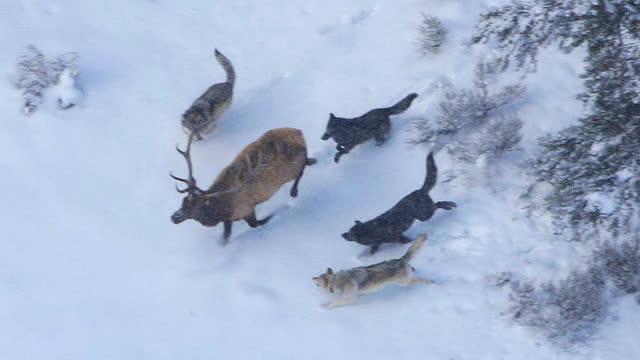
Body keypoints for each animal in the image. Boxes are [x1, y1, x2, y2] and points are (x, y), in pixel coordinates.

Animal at [170, 128, 318, 243]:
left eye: (194, 207)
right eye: (183, 201)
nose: (174, 217)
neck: (222, 209)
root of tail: (299, 132)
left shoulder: (247, 209)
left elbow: (257, 223)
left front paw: (280, 210)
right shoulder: (228, 219)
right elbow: (226, 237)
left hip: (291, 169)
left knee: (301, 170)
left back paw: (294, 191)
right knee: (308, 162)